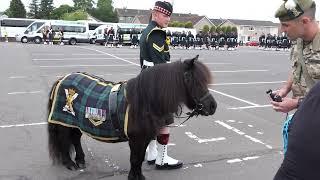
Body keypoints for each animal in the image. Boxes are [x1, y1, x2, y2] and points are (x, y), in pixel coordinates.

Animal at [47, 54, 218, 180]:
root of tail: (62, 79)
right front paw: (134, 177)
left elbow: (140, 158)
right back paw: (69, 163)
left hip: (75, 122)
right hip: (63, 122)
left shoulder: (144, 138)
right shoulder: (136, 139)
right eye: (195, 81)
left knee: (75, 138)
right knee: (64, 139)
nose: (212, 106)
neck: (144, 100)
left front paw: (139, 176)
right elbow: (135, 159)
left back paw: (81, 160)